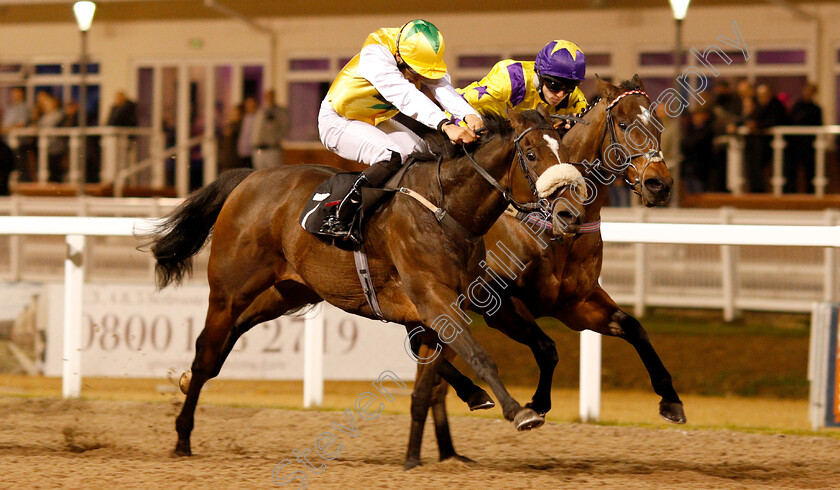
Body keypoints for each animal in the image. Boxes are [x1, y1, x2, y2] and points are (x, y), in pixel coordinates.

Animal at [144, 109, 588, 458]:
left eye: (565, 153)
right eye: (531, 154)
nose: (569, 213)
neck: (445, 208)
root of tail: (250, 180)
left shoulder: (469, 299)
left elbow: (535, 347)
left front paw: (535, 401)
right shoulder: (432, 297)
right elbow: (479, 356)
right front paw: (519, 411)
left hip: (284, 292)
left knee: (226, 340)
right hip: (229, 290)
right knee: (206, 351)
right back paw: (182, 435)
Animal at [408, 75, 688, 468]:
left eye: (658, 124)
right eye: (623, 124)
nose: (659, 185)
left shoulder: (575, 304)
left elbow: (634, 328)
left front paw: (671, 399)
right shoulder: (499, 303)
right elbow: (547, 347)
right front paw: (537, 404)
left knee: (432, 371)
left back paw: (450, 448)